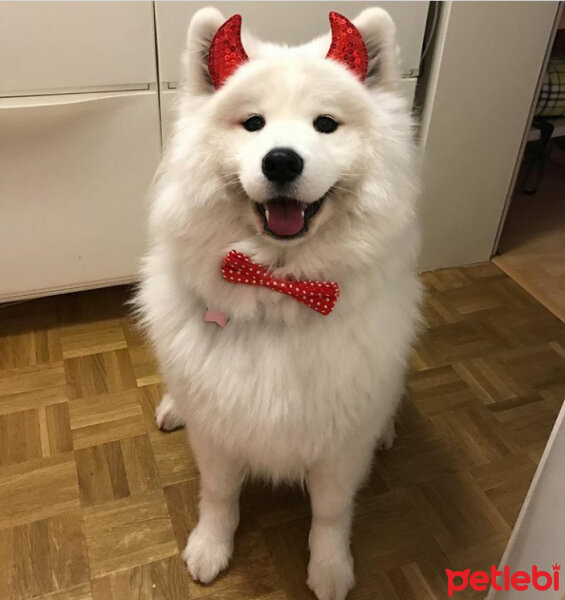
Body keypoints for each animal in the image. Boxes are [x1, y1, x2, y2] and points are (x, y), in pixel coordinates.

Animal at [135, 5, 418, 600]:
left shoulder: (340, 443)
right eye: (253, 124)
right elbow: (219, 494)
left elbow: (331, 512)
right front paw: (210, 546)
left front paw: (330, 568)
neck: (278, 289)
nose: (282, 162)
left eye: (326, 124)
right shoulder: (217, 429)